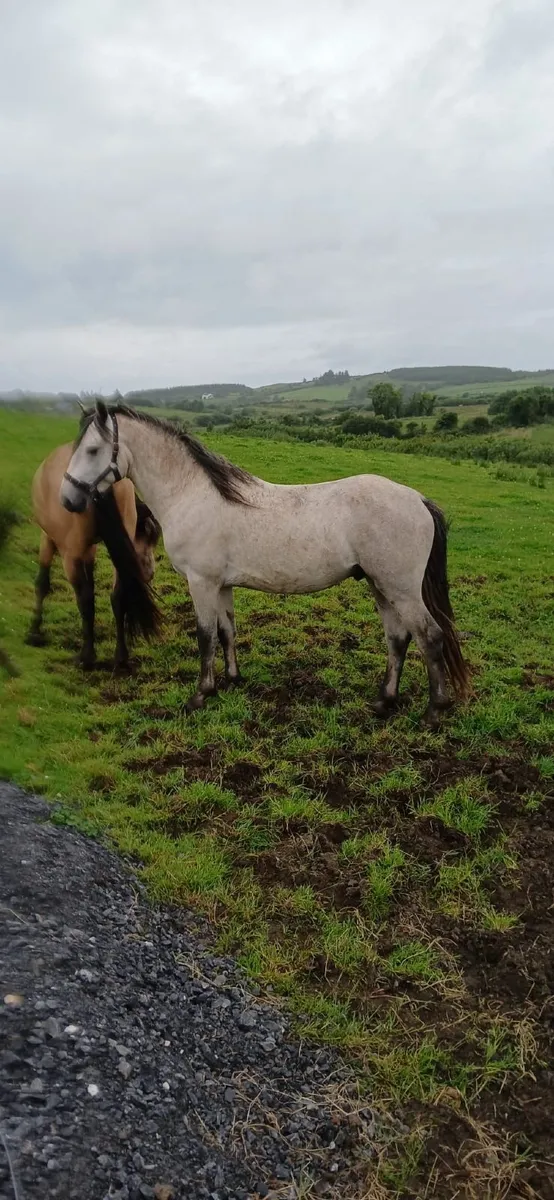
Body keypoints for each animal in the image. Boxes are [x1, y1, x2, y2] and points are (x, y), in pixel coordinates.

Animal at [28, 439, 162, 669]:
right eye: (146, 539)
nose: (150, 573)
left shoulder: (48, 538)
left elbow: (42, 583)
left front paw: (34, 631)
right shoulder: (90, 549)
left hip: (69, 557)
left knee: (85, 600)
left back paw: (87, 656)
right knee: (118, 596)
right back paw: (121, 656)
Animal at [60, 401, 471, 725]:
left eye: (93, 450)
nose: (67, 500)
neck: (192, 495)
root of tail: (417, 499)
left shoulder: (201, 582)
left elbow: (205, 636)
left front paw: (200, 695)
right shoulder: (221, 585)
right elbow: (227, 631)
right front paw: (231, 680)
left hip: (401, 590)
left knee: (430, 637)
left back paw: (433, 712)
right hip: (381, 586)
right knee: (398, 639)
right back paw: (384, 702)